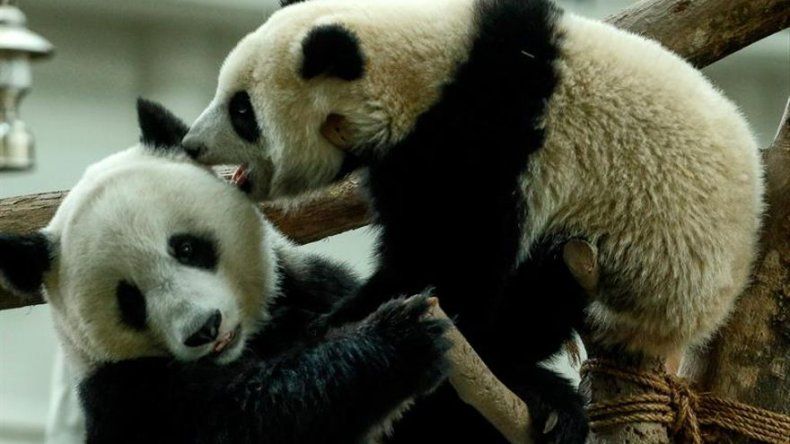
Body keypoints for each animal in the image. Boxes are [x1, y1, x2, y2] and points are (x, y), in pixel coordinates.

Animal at [0, 100, 453, 444]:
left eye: (186, 248)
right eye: (129, 300)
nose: (204, 329)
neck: (245, 348)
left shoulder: (310, 288)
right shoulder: (128, 395)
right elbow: (242, 420)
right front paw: (398, 342)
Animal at [182, 0, 764, 442]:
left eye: (241, 111)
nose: (190, 144)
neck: (428, 68)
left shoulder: (486, 137)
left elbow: (450, 265)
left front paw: (336, 326)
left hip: (642, 269)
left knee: (534, 301)